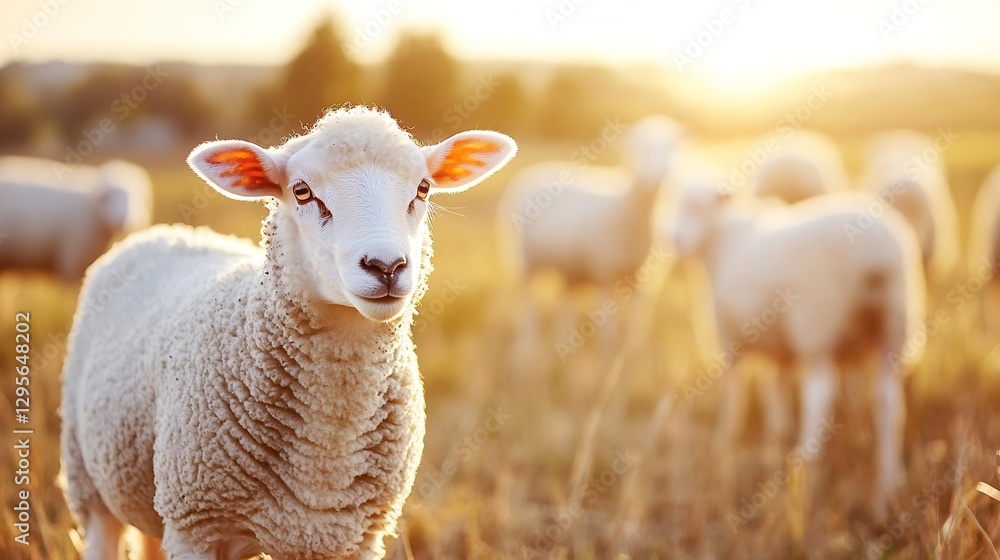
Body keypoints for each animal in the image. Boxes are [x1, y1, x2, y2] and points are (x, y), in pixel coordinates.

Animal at [60, 106, 517, 560]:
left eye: (422, 188)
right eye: (301, 191)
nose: (386, 266)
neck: (328, 439)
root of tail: (169, 232)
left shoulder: (356, 536)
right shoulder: (196, 525)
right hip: (88, 478)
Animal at [670, 182, 925, 520]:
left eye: (698, 208)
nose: (674, 238)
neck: (723, 238)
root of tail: (878, 253)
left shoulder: (730, 340)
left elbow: (735, 391)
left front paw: (724, 438)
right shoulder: (778, 345)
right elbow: (775, 388)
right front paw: (775, 436)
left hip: (817, 321)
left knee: (821, 391)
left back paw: (806, 462)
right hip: (894, 327)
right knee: (888, 401)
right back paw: (889, 482)